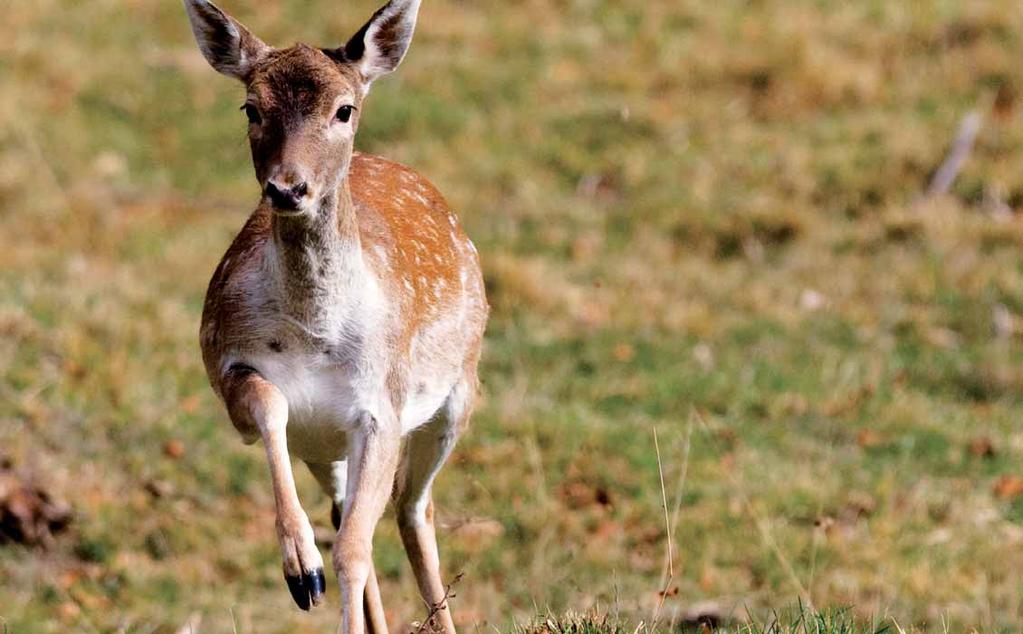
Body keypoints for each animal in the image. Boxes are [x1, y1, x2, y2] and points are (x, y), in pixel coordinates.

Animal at [183, 2, 486, 629]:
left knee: (412, 509)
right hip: (328, 449)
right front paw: (302, 570)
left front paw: (313, 572)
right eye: (251, 107)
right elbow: (270, 406)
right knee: (357, 512)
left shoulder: (382, 408)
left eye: (344, 109)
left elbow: (354, 550)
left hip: (457, 396)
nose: (287, 187)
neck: (314, 335)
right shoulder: (229, 367)